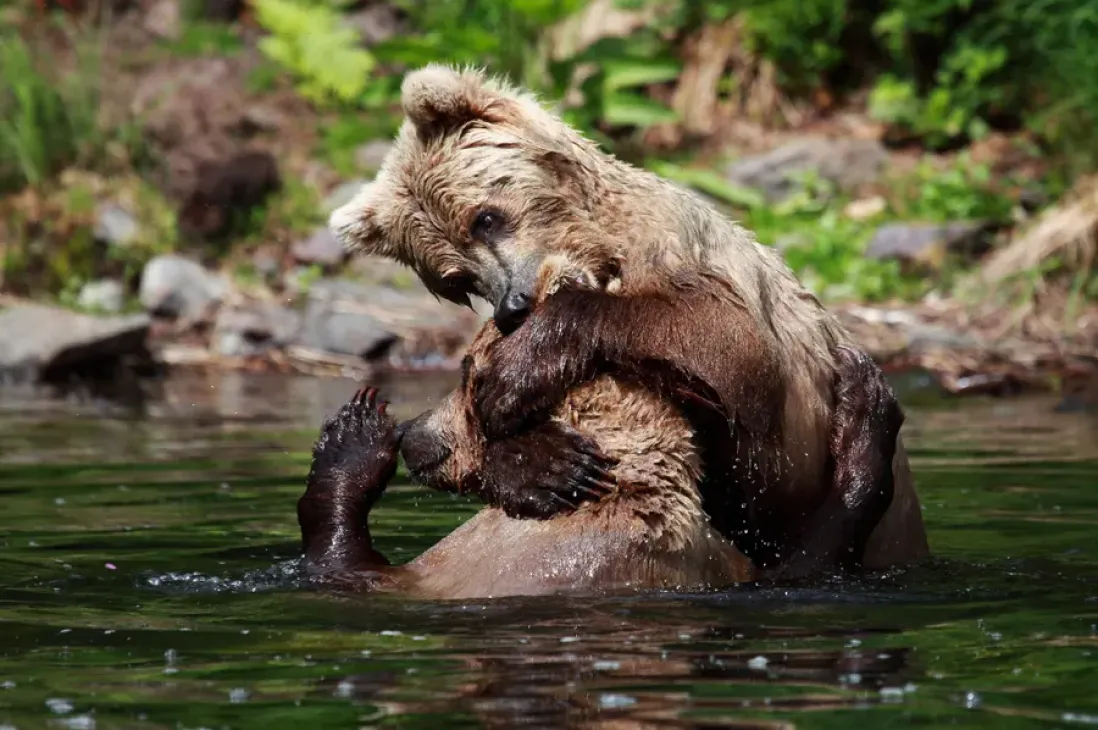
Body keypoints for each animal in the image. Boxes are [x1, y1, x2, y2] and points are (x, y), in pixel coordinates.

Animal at [327, 64, 929, 577]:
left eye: (486, 218)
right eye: (455, 278)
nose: (515, 304)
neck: (603, 250)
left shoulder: (707, 276)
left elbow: (729, 346)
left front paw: (513, 377)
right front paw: (542, 464)